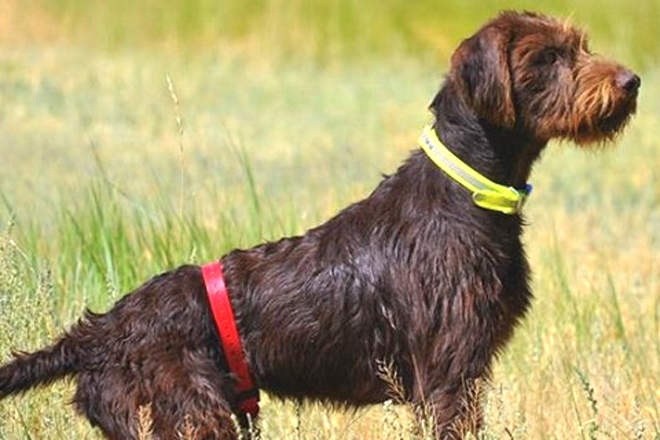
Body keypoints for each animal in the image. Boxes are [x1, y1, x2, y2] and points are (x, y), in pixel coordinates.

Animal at [0, 10, 640, 440]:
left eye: (579, 45)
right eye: (547, 58)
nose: (632, 82)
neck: (468, 186)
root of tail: (98, 333)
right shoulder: (447, 375)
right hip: (191, 415)